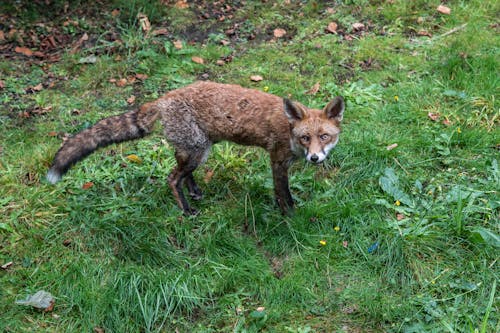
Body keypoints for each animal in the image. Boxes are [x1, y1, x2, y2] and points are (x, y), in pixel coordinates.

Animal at [46, 81, 344, 214]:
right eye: (306, 138)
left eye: (324, 137)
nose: (314, 158)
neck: (289, 131)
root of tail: (163, 98)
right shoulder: (277, 160)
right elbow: (284, 194)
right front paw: (289, 216)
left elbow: (280, 192)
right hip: (197, 151)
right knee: (171, 178)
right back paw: (186, 209)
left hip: (199, 149)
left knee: (181, 172)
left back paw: (195, 192)